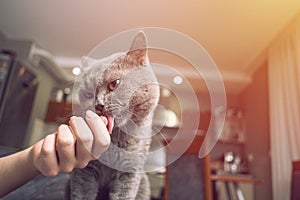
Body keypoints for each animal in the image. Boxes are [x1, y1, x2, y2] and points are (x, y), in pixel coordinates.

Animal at [69, 32, 159, 199]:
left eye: (114, 84)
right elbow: (82, 193)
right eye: (88, 94)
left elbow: (124, 194)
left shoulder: (130, 172)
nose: (98, 105)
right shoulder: (84, 171)